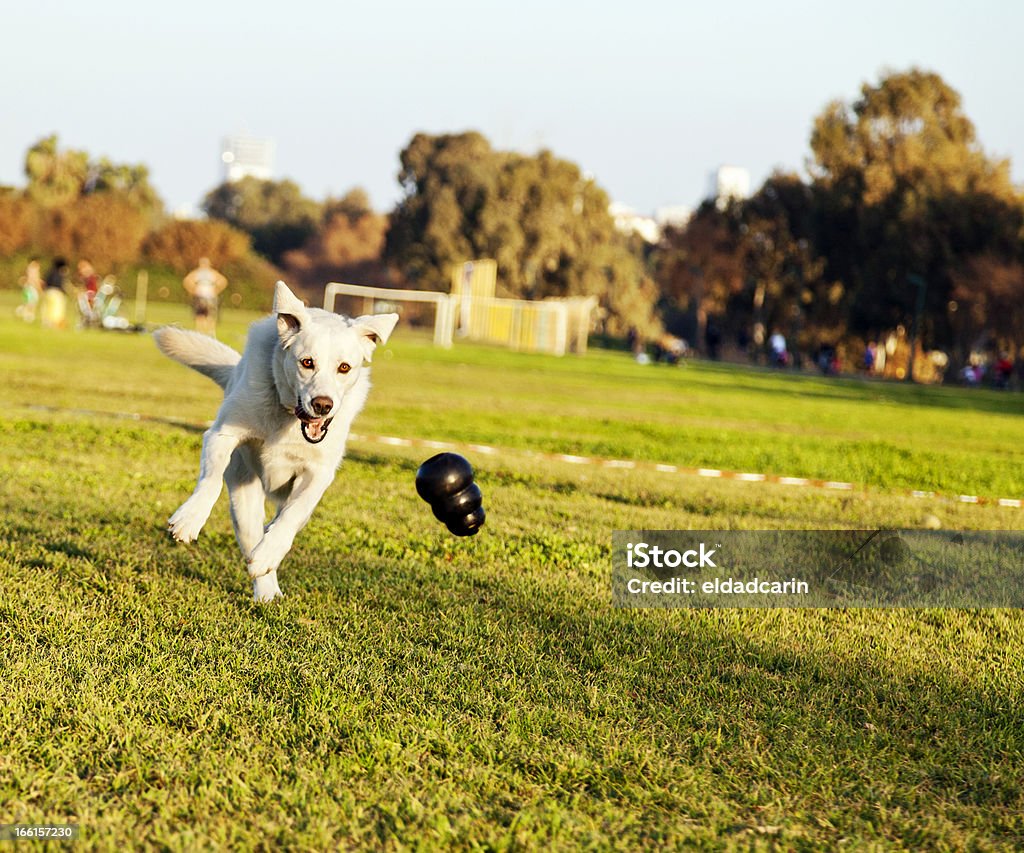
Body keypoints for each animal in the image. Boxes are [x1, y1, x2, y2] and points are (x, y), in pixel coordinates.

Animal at [153, 278, 397, 598]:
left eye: (344, 367)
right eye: (307, 362)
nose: (323, 405)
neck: (288, 416)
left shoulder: (319, 473)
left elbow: (293, 513)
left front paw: (270, 550)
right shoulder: (221, 434)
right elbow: (211, 479)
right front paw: (190, 518)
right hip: (244, 500)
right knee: (250, 536)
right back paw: (266, 590)